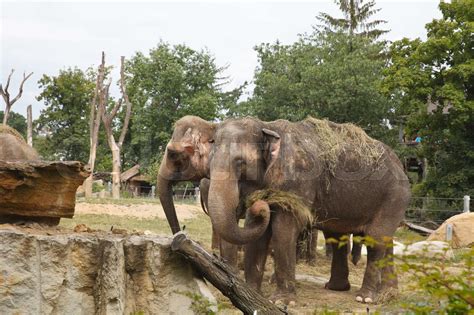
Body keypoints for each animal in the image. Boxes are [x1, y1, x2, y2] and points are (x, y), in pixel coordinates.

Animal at [206, 117, 410, 304]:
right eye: (209, 164)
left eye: (240, 163)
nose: (260, 205)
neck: (268, 126)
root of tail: (401, 166)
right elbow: (257, 232)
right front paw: (252, 294)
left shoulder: (299, 181)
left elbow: (283, 231)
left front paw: (281, 301)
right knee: (353, 238)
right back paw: (379, 293)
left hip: (393, 198)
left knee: (375, 238)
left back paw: (365, 298)